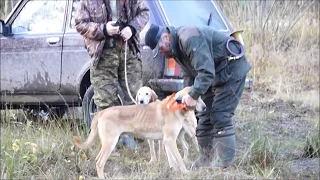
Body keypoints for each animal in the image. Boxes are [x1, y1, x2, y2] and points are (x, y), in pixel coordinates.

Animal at [73, 86, 206, 178]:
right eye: (196, 97)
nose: (205, 107)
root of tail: (102, 112)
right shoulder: (169, 140)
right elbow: (178, 159)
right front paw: (185, 172)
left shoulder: (168, 141)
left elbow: (173, 159)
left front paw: (174, 170)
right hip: (110, 143)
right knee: (100, 162)